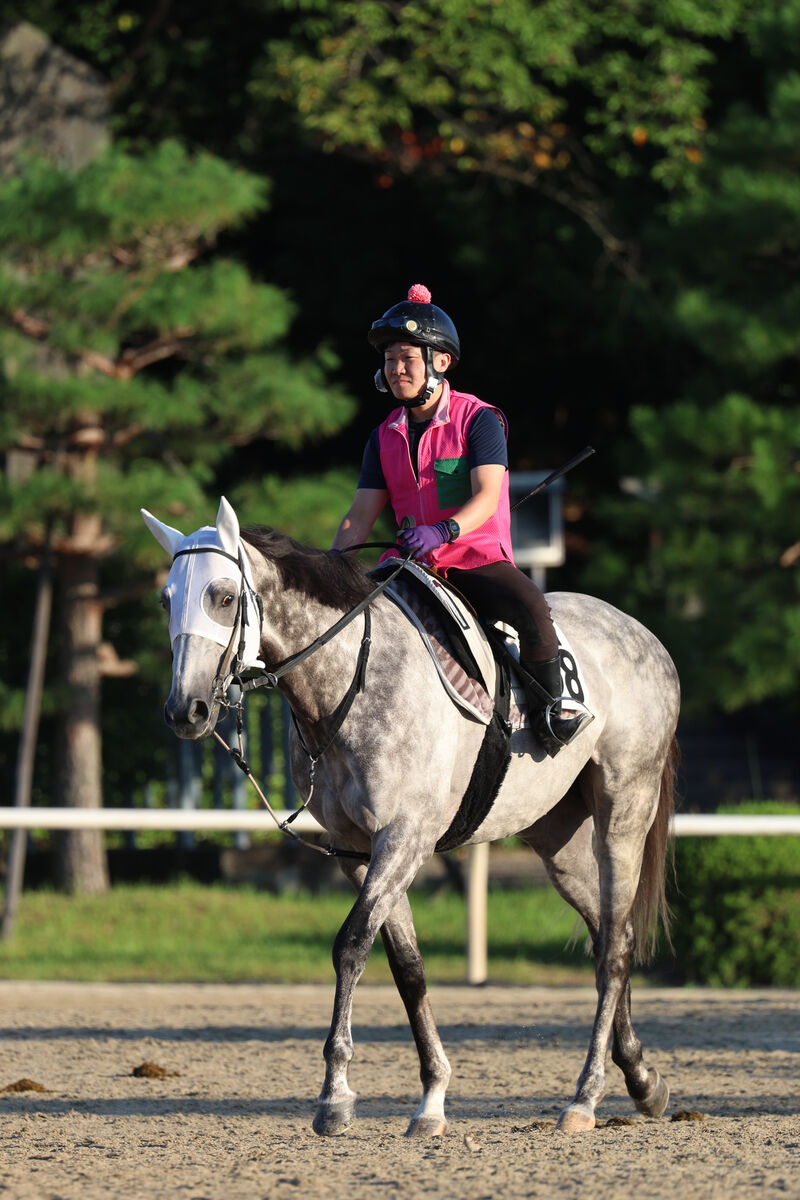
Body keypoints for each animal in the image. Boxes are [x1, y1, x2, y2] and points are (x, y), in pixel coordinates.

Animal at [143, 501, 681, 1137]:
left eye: (223, 596)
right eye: (166, 600)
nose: (186, 710)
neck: (352, 677)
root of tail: (643, 633)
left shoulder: (404, 838)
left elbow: (351, 946)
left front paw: (335, 1094)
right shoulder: (358, 851)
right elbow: (407, 967)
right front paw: (432, 1097)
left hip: (624, 812)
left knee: (616, 948)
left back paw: (587, 1096)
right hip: (559, 842)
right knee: (605, 936)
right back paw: (639, 1076)